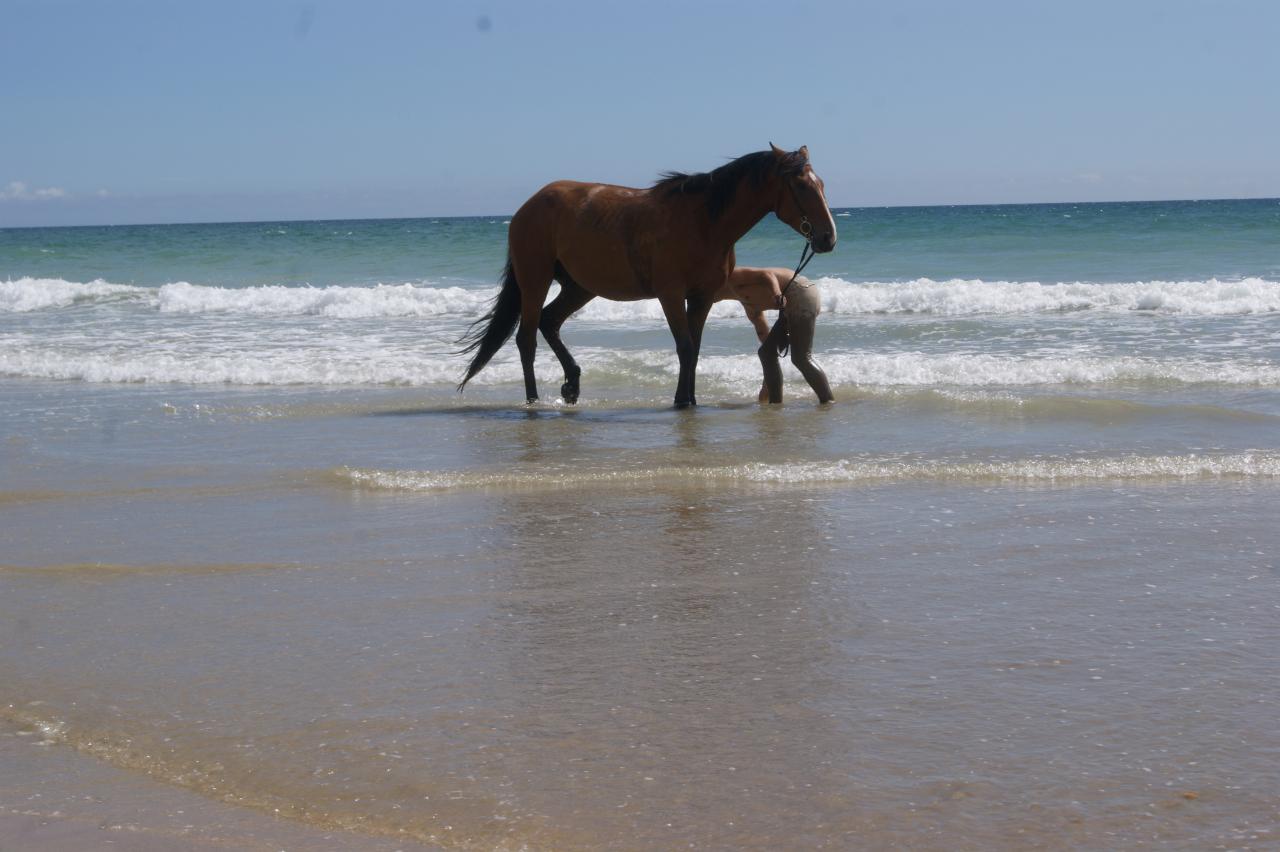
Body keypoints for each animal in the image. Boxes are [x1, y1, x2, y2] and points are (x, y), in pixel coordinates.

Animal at [455, 144, 834, 406]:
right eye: (801, 186)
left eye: (822, 184)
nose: (828, 237)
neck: (702, 222)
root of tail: (528, 206)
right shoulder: (671, 294)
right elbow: (684, 346)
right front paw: (682, 401)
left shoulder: (702, 297)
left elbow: (694, 348)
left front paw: (690, 398)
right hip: (535, 279)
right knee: (527, 338)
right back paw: (533, 400)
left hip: (580, 287)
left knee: (550, 322)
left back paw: (572, 385)